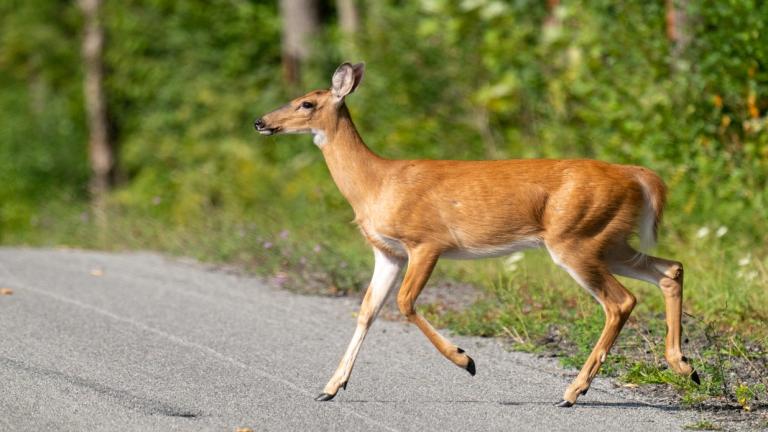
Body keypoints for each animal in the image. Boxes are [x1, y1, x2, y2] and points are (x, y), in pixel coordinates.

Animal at [254, 62, 699, 407]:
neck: (376, 184)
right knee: (669, 269)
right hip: (610, 240)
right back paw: (685, 366)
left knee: (621, 301)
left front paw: (465, 360)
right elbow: (368, 310)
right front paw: (330, 387)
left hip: (576, 239)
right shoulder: (388, 252)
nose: (261, 121)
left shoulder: (426, 241)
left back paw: (573, 392)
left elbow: (404, 303)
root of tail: (638, 176)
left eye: (306, 103)